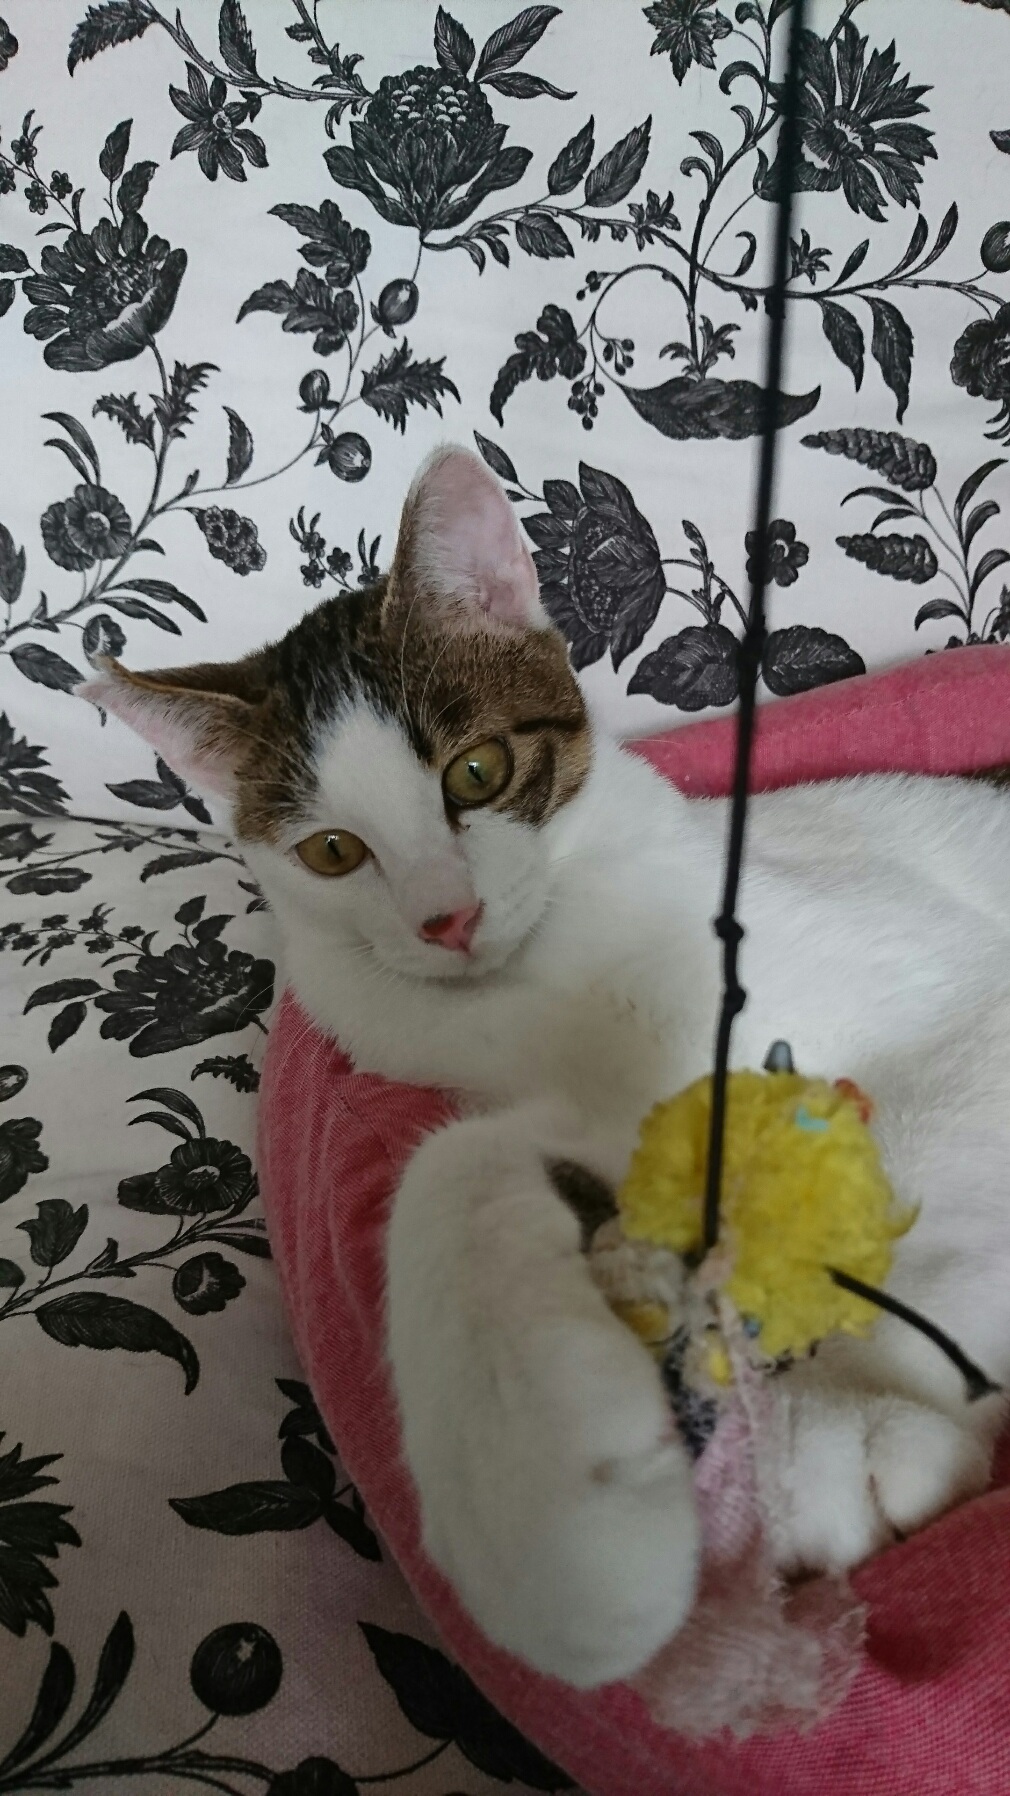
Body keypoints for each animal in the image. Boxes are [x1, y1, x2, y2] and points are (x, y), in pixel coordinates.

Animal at [82, 443, 1010, 1690]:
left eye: (475, 771)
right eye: (332, 850)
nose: (447, 919)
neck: (549, 981)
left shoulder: (946, 981)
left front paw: (851, 1411)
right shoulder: (545, 1102)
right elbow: (450, 1167)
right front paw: (557, 1533)